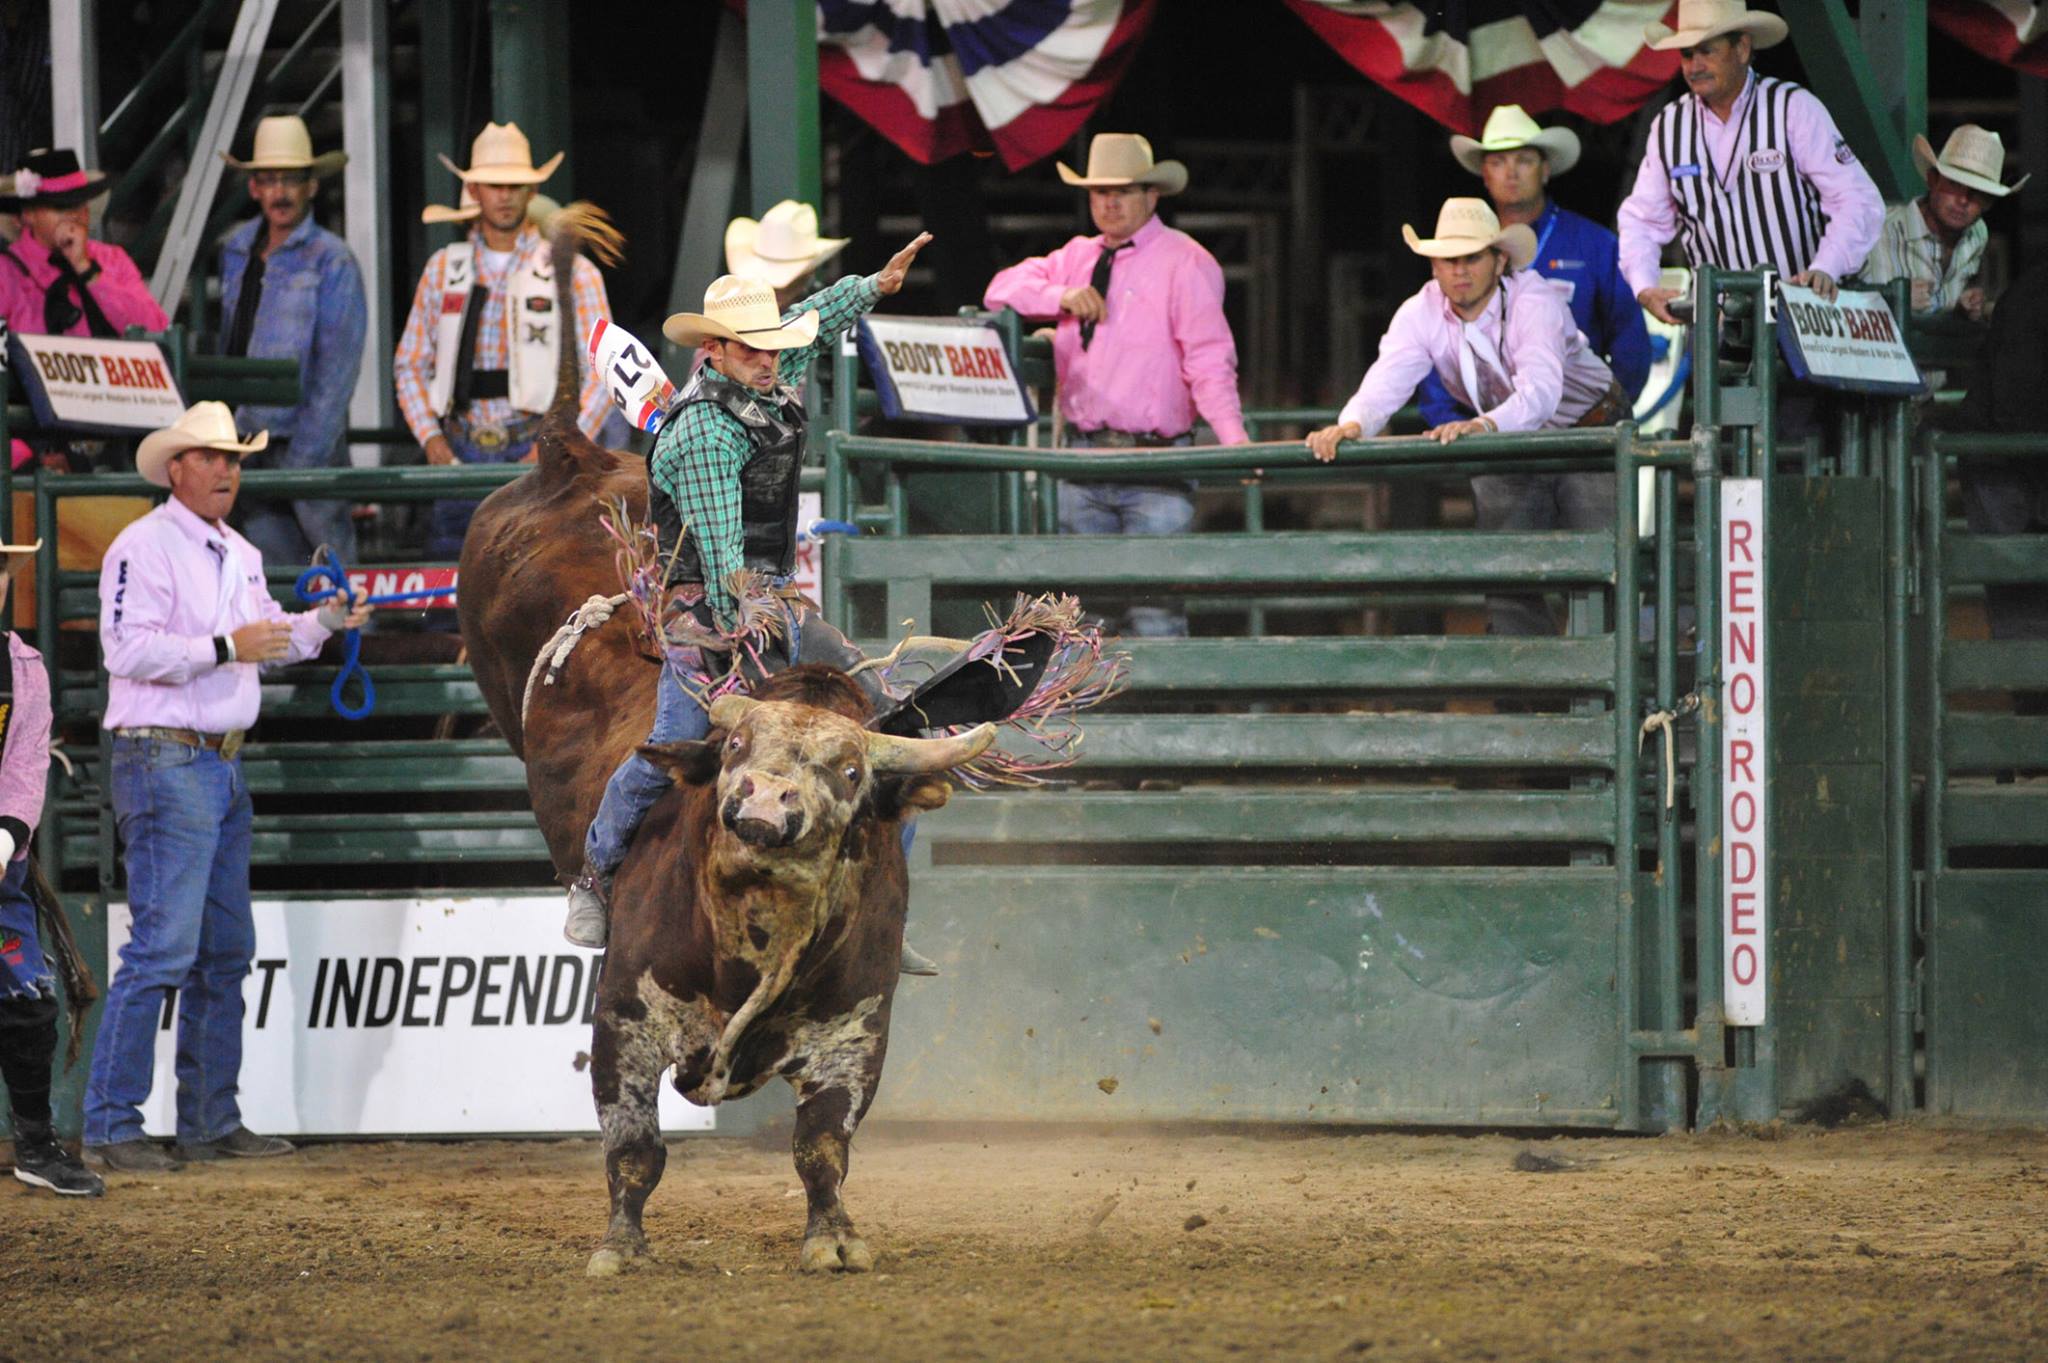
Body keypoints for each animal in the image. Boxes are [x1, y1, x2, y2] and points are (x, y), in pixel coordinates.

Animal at [454, 206, 991, 1268]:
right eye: (734, 754)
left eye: (849, 772)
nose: (761, 816)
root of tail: (573, 455)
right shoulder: (624, 1015)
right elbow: (634, 1143)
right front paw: (621, 1246)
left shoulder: (859, 1032)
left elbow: (822, 1142)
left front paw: (835, 1239)